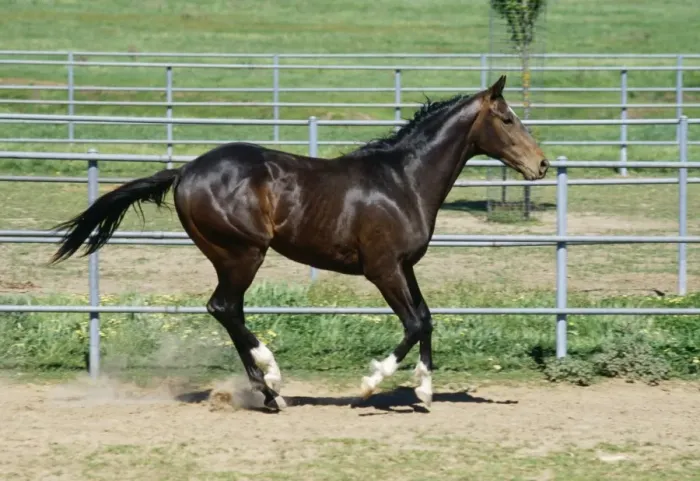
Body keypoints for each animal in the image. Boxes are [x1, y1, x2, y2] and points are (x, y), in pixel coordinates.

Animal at [50, 75, 549, 411]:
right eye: (507, 118)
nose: (541, 165)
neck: (402, 181)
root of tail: (186, 171)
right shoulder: (383, 268)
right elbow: (413, 324)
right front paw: (370, 383)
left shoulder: (405, 266)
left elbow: (426, 318)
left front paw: (424, 389)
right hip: (243, 253)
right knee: (224, 307)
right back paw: (272, 382)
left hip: (233, 257)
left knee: (228, 310)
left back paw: (269, 392)